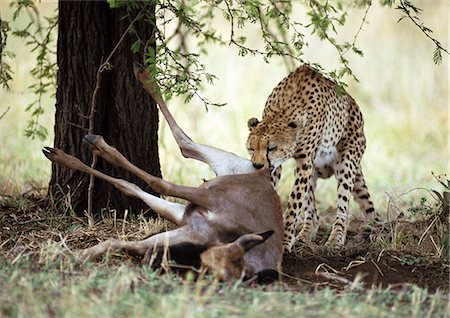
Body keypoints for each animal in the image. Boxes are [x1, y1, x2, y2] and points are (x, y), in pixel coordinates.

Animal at [248, 64, 378, 252]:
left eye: (271, 148)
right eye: (251, 148)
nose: (257, 165)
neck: (282, 111)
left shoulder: (304, 160)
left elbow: (294, 204)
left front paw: (284, 242)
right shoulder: (284, 166)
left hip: (346, 160)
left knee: (343, 207)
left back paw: (335, 239)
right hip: (314, 168)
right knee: (313, 211)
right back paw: (304, 235)